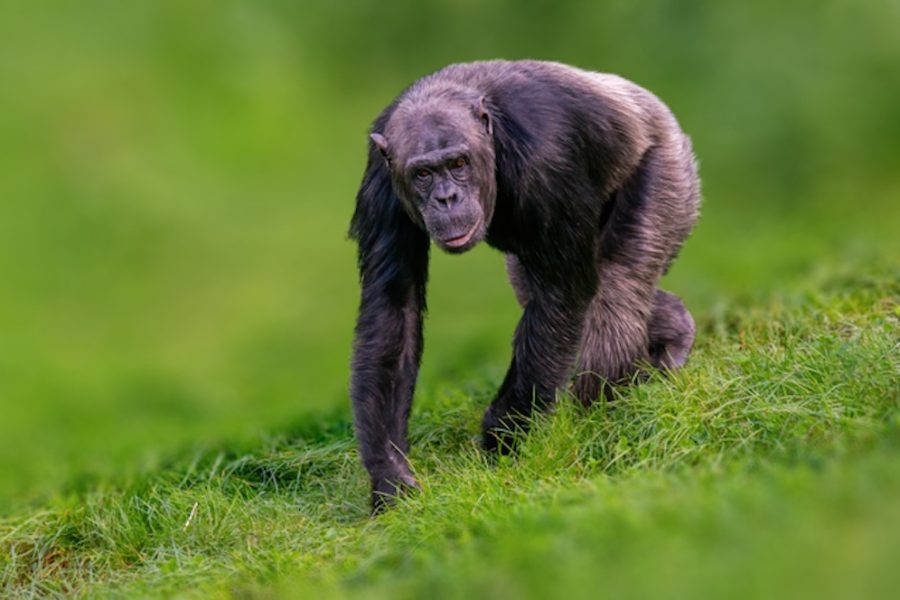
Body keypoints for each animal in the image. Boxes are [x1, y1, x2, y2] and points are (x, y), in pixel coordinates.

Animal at [348, 61, 700, 510]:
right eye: (423, 173)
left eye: (458, 163)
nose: (447, 198)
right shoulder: (381, 183)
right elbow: (394, 309)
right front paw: (391, 476)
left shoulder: (546, 161)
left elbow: (560, 295)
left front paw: (502, 439)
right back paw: (673, 330)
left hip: (667, 173)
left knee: (614, 291)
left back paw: (603, 411)